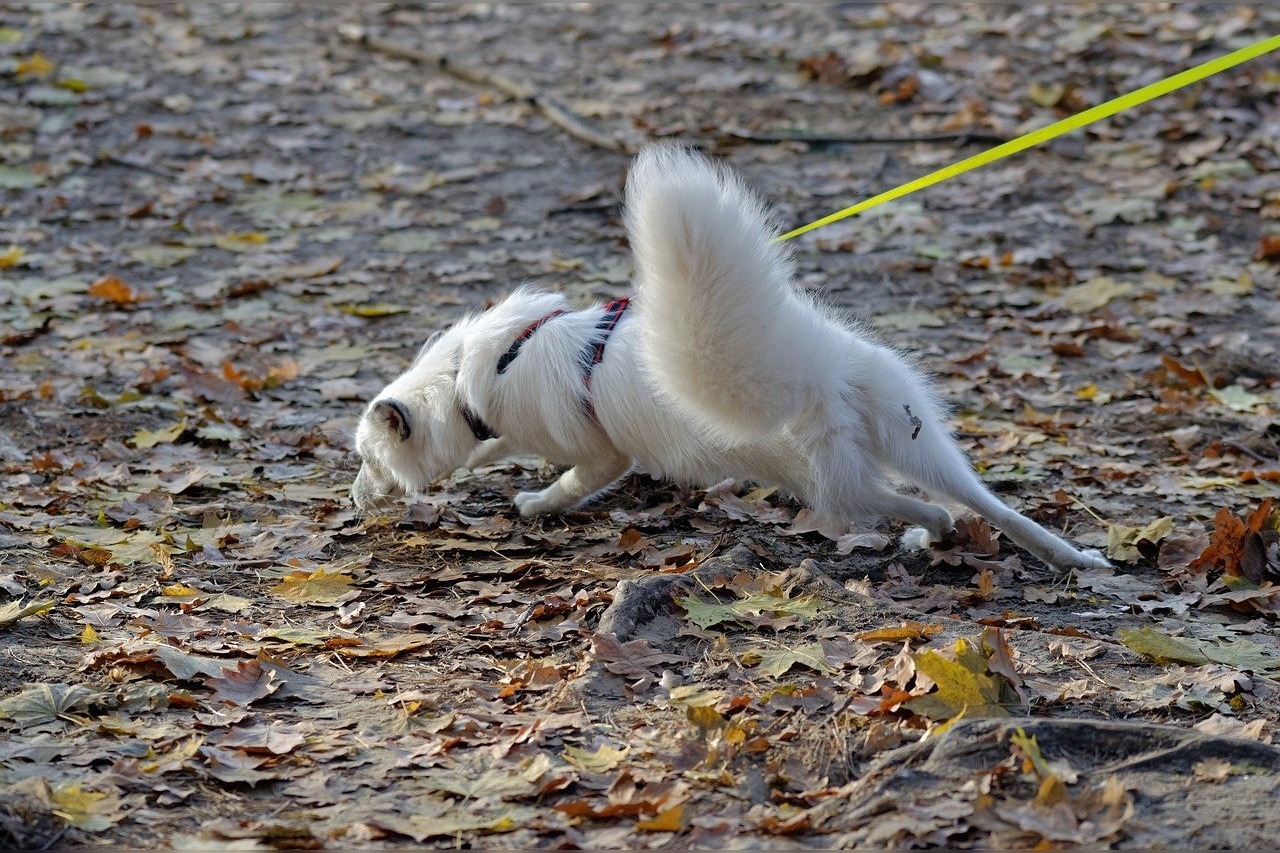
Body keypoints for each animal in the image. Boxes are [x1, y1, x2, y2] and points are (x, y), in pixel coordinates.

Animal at [353, 146, 1111, 571]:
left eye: (365, 459)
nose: (352, 499)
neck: (470, 376)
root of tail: (813, 376)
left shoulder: (599, 453)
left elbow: (568, 481)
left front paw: (534, 503)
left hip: (835, 488)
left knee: (913, 506)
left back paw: (934, 535)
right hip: (913, 441)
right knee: (984, 505)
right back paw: (1062, 556)